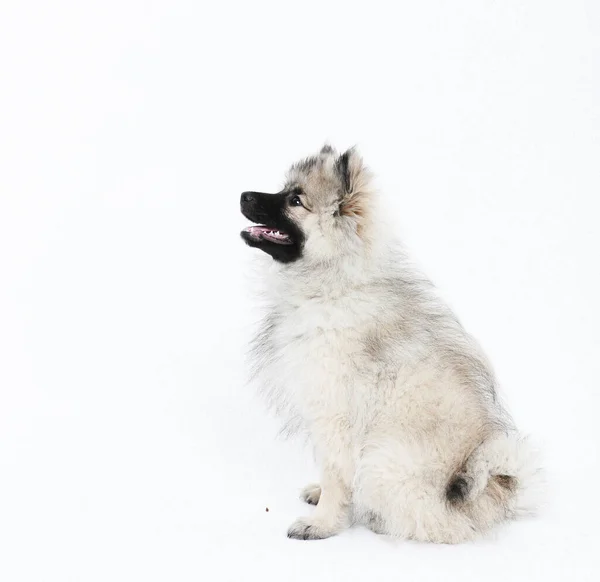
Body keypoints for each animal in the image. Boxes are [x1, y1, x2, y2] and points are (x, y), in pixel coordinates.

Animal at [240, 145, 544, 544]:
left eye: (295, 200)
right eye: (283, 190)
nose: (243, 195)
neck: (335, 284)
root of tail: (488, 496)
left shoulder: (334, 415)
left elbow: (336, 474)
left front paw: (322, 523)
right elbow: (331, 472)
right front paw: (321, 496)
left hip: (382, 456)